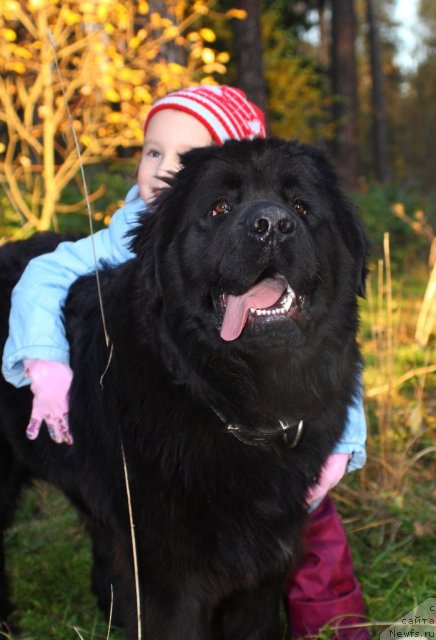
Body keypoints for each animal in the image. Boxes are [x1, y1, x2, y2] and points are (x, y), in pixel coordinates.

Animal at [0, 140, 368, 640]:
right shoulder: (169, 577)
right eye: (220, 207)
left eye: (301, 207)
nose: (272, 225)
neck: (228, 401)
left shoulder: (265, 566)